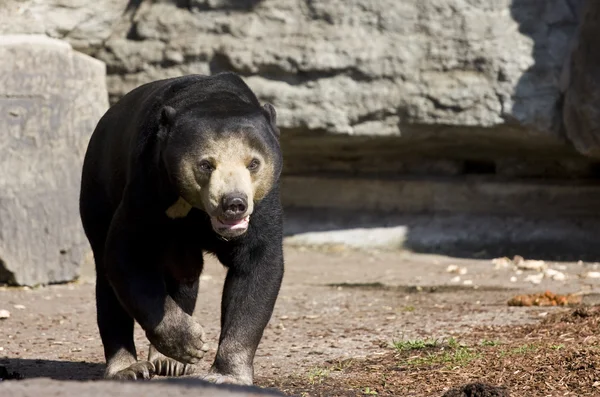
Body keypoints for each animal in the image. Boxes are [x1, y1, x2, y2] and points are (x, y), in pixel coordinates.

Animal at [79, 71, 284, 384]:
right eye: (206, 164)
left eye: (253, 163)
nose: (233, 203)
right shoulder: (150, 183)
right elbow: (127, 251)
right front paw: (192, 343)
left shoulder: (262, 205)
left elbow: (258, 266)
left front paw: (227, 375)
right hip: (98, 187)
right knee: (107, 279)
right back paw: (128, 368)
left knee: (183, 274)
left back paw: (169, 362)